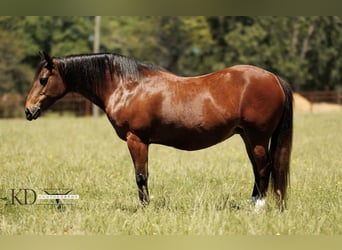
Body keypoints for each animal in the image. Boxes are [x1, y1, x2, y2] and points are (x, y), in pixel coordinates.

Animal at [25, 51, 292, 210]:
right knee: (258, 169)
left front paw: (145, 208)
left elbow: (141, 176)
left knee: (263, 168)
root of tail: (274, 77)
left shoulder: (137, 140)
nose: (29, 110)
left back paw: (258, 208)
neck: (127, 86)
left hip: (257, 137)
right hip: (248, 137)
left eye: (43, 79)